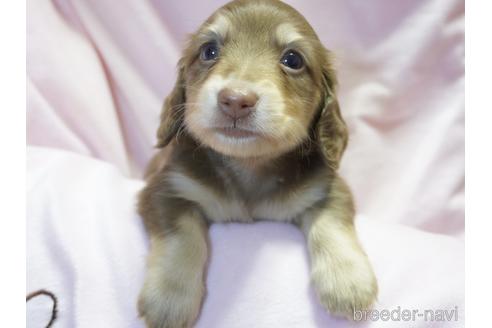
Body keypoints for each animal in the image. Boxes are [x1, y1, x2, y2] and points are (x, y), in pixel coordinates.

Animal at [137, 1, 376, 326]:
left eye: (293, 59)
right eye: (209, 51)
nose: (235, 100)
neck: (248, 165)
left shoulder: (327, 189)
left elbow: (332, 224)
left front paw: (348, 281)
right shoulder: (165, 188)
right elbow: (182, 236)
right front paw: (169, 298)